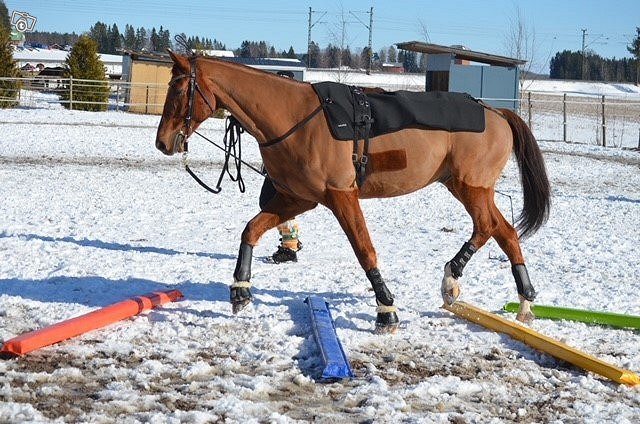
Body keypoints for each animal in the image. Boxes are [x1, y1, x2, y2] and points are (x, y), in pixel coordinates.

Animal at [155, 51, 552, 332]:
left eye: (179, 90)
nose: (163, 142)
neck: (296, 118)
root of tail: (497, 113)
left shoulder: (341, 196)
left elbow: (364, 249)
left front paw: (386, 309)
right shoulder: (299, 198)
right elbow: (251, 229)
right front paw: (240, 289)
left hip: (472, 188)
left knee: (487, 227)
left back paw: (452, 279)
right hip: (470, 187)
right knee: (506, 232)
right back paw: (525, 302)